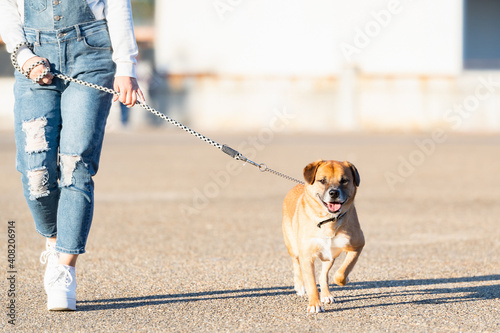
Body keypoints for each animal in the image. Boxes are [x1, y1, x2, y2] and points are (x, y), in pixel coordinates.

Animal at [284, 160, 366, 312]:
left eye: (344, 180)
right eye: (322, 180)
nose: (333, 193)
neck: (329, 220)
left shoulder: (357, 246)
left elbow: (342, 271)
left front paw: (344, 279)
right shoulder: (307, 256)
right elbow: (311, 283)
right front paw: (314, 304)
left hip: (329, 256)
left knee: (323, 276)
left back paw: (327, 295)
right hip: (293, 247)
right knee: (296, 265)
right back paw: (300, 286)